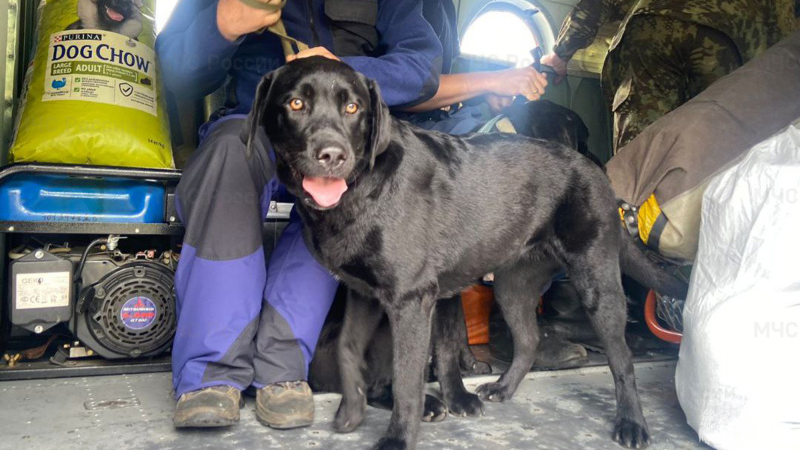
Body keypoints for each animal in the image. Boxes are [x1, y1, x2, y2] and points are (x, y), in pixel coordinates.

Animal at [247, 58, 684, 450]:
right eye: (296, 104)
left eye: (352, 107)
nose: (332, 155)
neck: (363, 187)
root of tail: (597, 176)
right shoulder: (364, 294)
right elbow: (350, 351)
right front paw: (351, 413)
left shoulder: (411, 300)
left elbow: (410, 378)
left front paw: (398, 439)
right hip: (512, 286)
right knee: (528, 340)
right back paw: (503, 388)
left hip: (596, 283)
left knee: (621, 359)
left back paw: (631, 424)